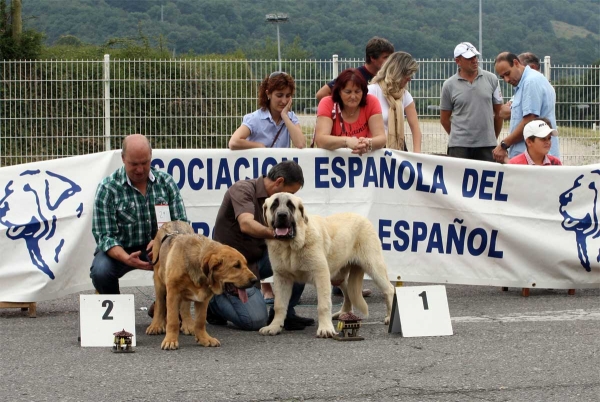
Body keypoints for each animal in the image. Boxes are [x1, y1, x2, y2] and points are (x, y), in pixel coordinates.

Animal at [147, 221, 258, 350]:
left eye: (245, 264)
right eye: (236, 266)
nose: (255, 280)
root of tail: (172, 222)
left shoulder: (204, 298)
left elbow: (200, 321)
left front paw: (204, 339)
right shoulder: (172, 293)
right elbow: (172, 320)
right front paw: (170, 340)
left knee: (185, 306)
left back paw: (188, 324)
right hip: (159, 282)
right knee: (160, 303)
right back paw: (156, 325)